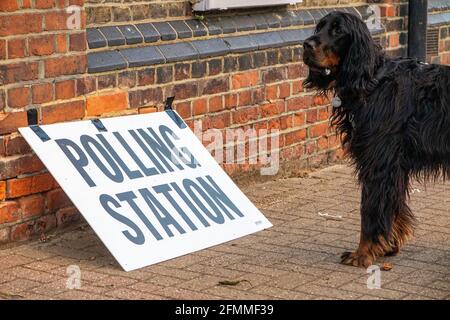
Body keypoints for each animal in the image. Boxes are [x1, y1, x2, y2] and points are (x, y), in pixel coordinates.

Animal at [302, 11, 450, 268]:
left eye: (338, 31)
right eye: (319, 27)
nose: (307, 44)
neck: (371, 80)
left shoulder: (379, 162)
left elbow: (370, 210)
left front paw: (363, 253)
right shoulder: (395, 165)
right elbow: (392, 206)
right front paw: (389, 244)